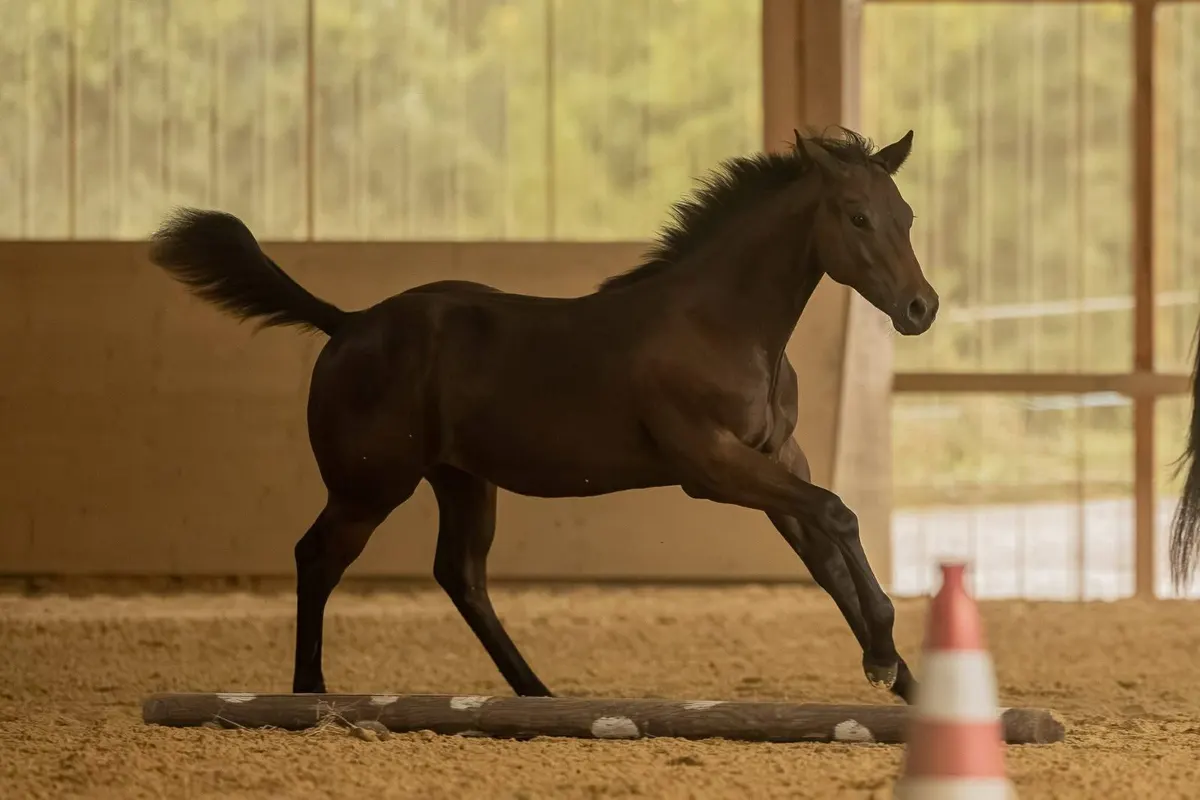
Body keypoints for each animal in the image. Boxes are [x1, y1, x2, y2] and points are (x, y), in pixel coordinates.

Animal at [147, 127, 938, 704]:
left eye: (906, 216)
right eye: (858, 217)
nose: (920, 308)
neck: (722, 325)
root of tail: (346, 324)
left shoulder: (775, 461)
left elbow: (827, 556)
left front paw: (905, 682)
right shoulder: (713, 466)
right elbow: (838, 514)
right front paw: (883, 656)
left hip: (463, 481)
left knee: (460, 575)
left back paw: (537, 695)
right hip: (369, 487)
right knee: (317, 558)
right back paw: (309, 692)